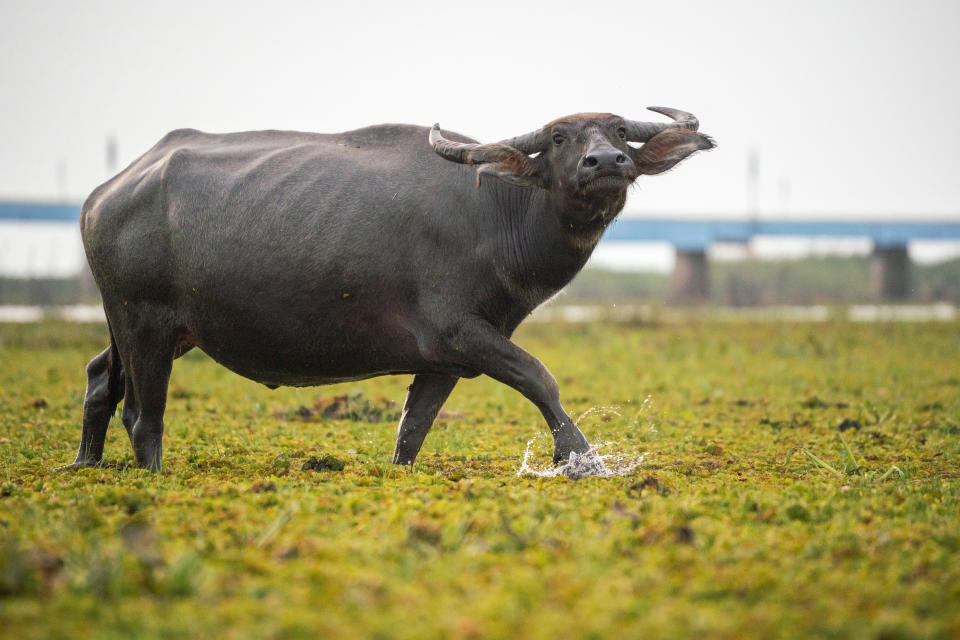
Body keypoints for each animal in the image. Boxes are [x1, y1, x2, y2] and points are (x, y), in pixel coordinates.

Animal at [67, 107, 712, 472]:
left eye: (620, 131)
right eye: (558, 138)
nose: (604, 162)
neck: (496, 212)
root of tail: (104, 194)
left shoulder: (447, 358)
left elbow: (413, 426)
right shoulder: (463, 332)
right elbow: (539, 377)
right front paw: (582, 459)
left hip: (151, 327)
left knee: (101, 377)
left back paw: (85, 464)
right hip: (145, 322)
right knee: (141, 415)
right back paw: (148, 472)